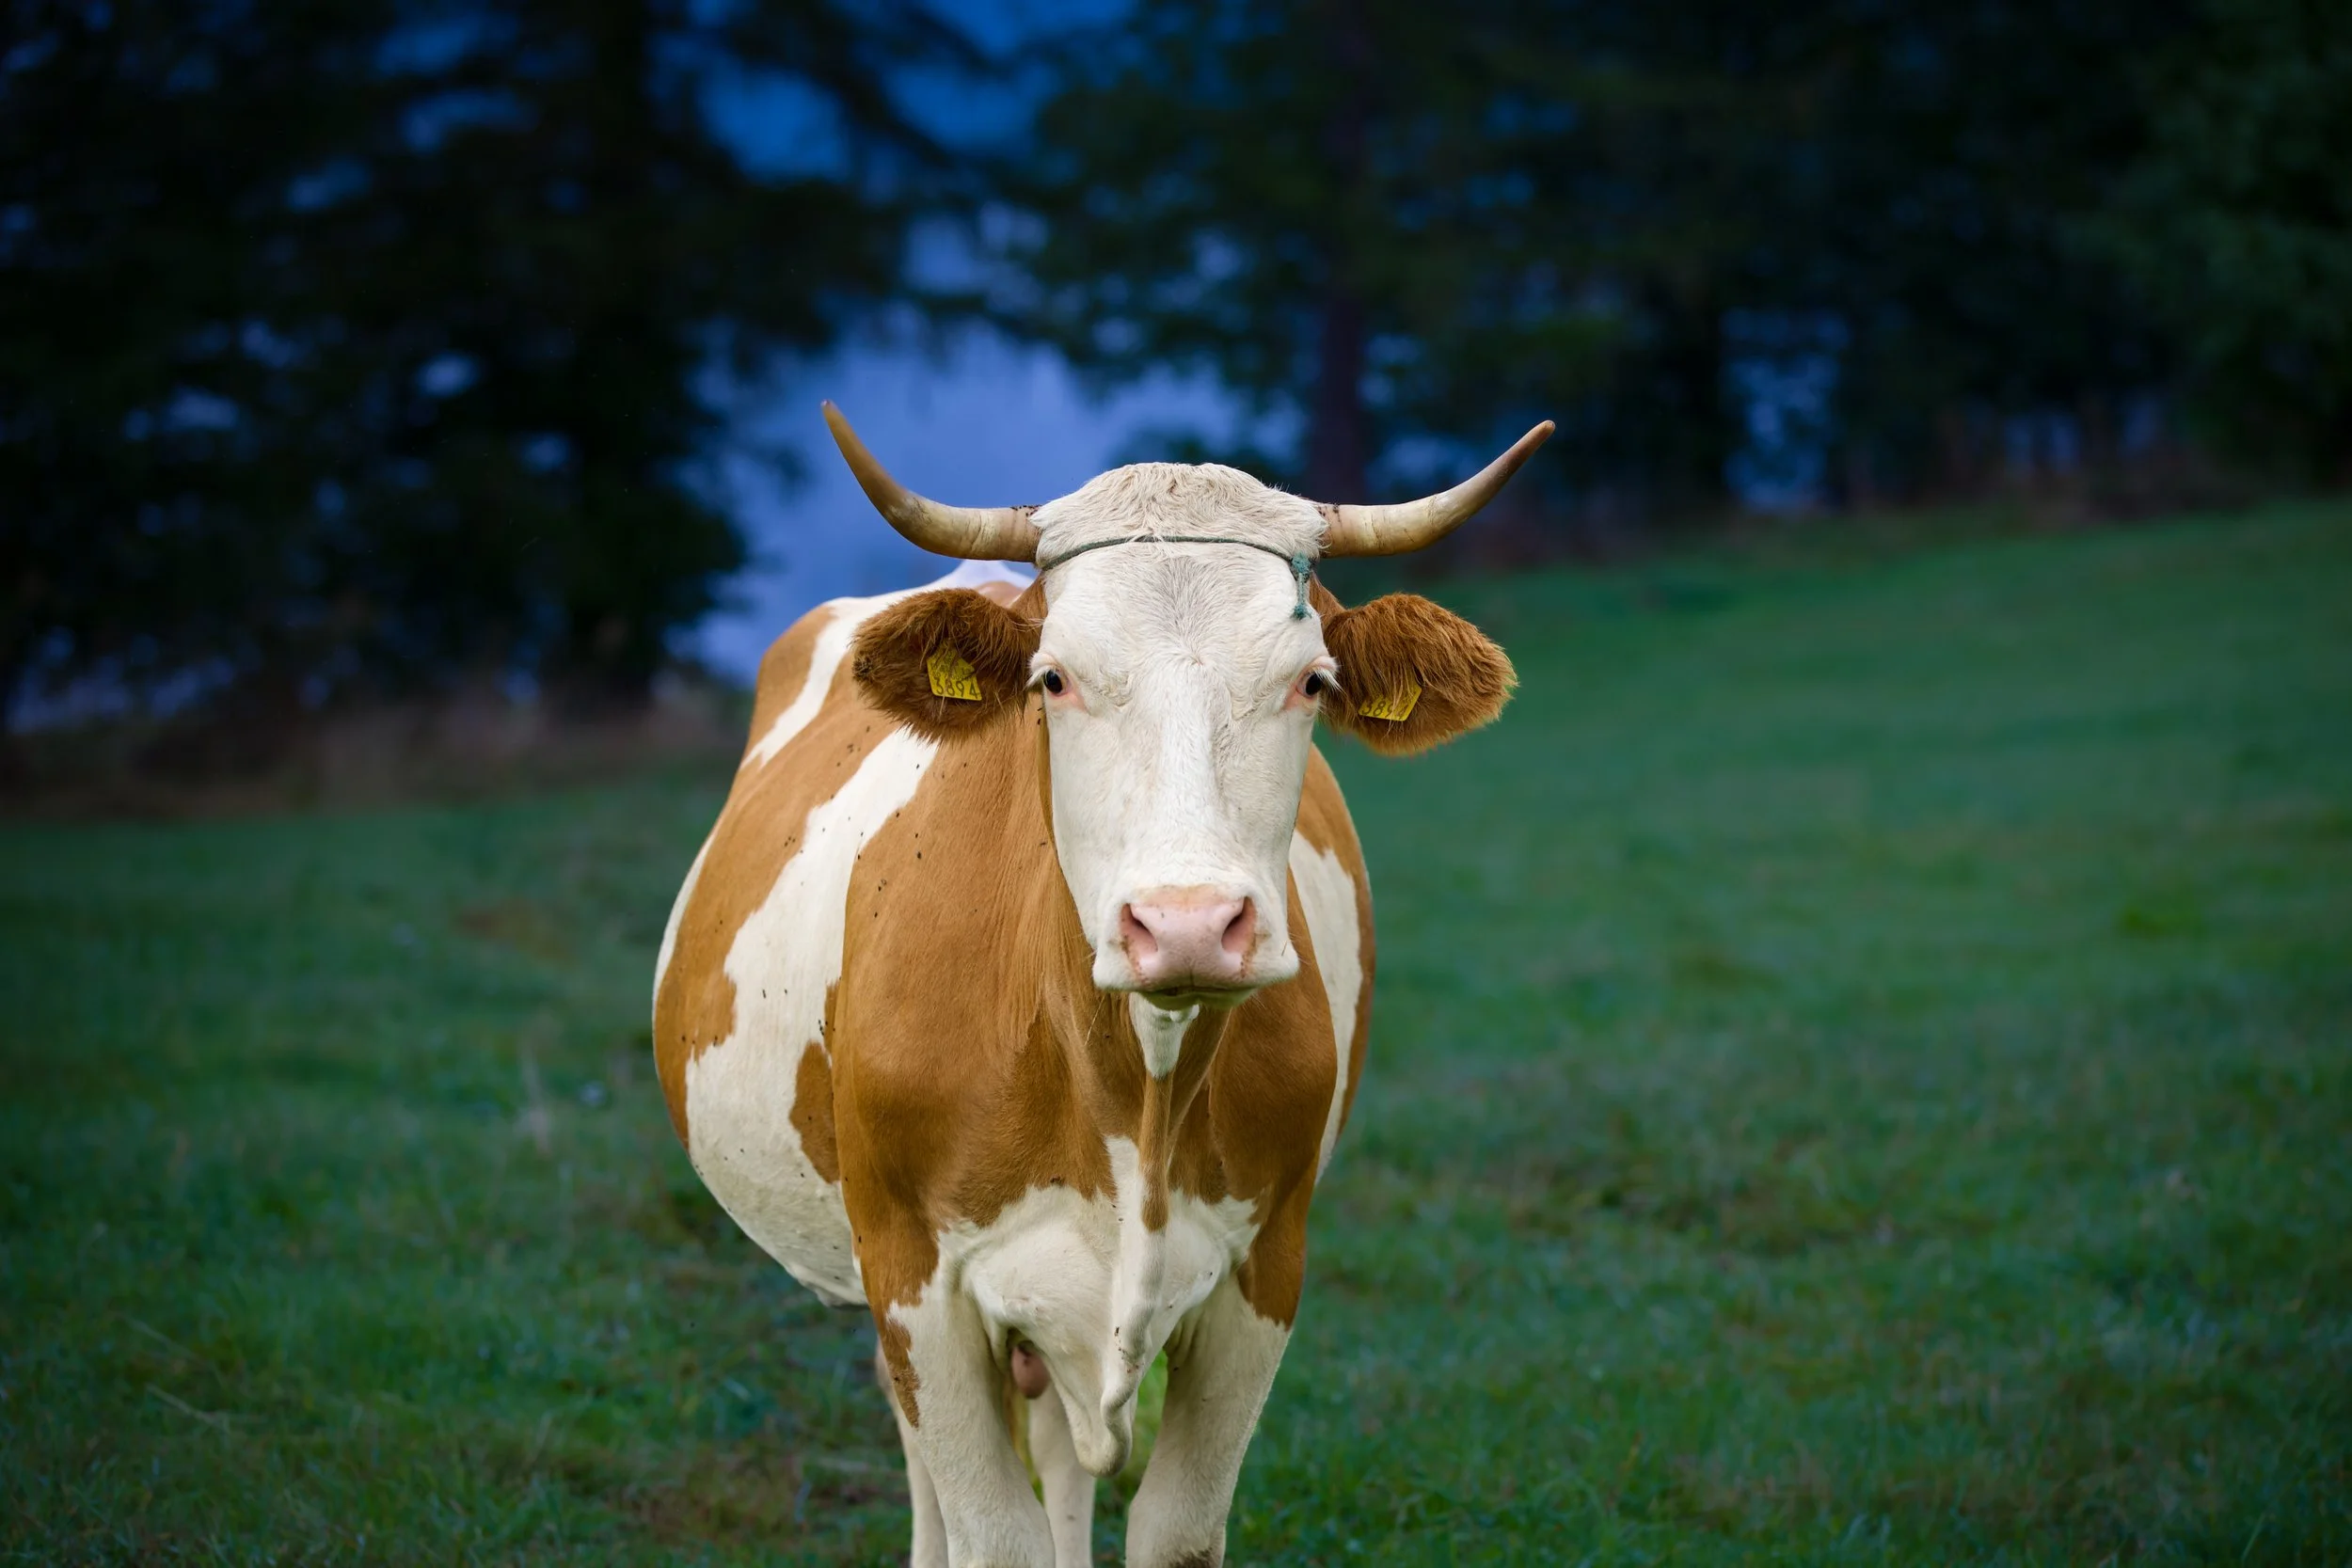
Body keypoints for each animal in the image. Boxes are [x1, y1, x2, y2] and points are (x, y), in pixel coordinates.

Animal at [652, 404, 1549, 1568]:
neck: (1132, 1089)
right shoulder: (915, 1278)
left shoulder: (1267, 1269)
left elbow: (1173, 1529)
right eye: (1054, 678)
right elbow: (992, 1532)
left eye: (1310, 680)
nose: (1187, 923)